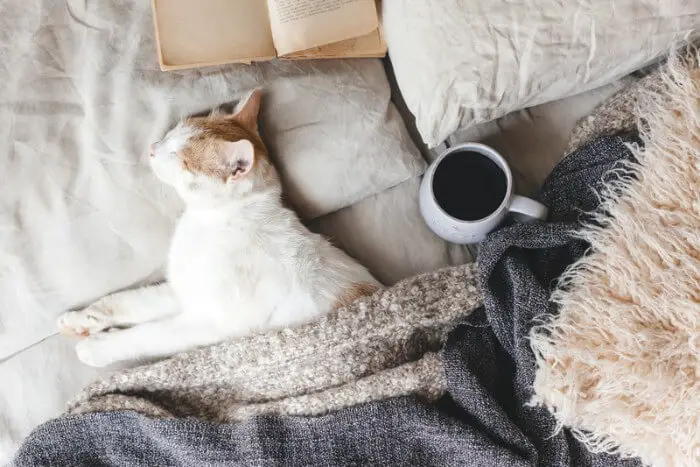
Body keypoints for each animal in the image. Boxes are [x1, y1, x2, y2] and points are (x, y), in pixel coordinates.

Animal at [57, 89, 380, 368]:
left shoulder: (209, 322)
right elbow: (130, 302)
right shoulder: (184, 290)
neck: (216, 219)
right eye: (171, 134)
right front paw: (83, 319)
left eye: (179, 157)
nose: (152, 148)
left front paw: (98, 348)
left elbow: (149, 334)